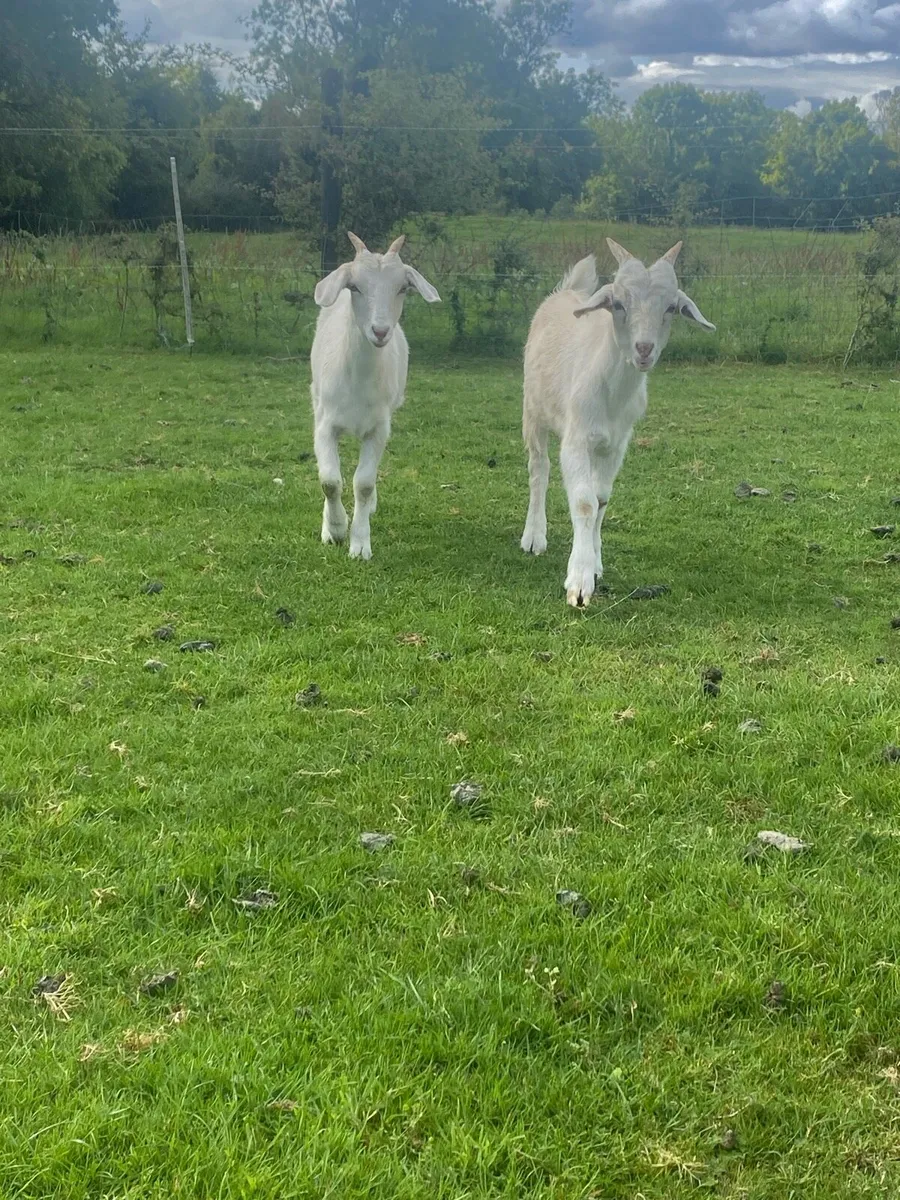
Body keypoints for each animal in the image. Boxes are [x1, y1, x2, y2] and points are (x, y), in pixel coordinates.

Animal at [310, 231, 441, 559]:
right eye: (354, 286)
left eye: (402, 288)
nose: (380, 331)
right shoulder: (325, 423)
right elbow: (329, 480)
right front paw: (335, 529)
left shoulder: (379, 428)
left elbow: (365, 483)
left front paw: (359, 543)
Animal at [520, 237, 716, 607]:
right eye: (619, 304)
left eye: (671, 307)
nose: (644, 349)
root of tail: (567, 292)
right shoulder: (577, 439)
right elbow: (583, 502)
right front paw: (579, 584)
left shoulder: (617, 443)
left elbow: (600, 499)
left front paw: (595, 564)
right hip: (533, 410)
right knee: (539, 468)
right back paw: (534, 537)